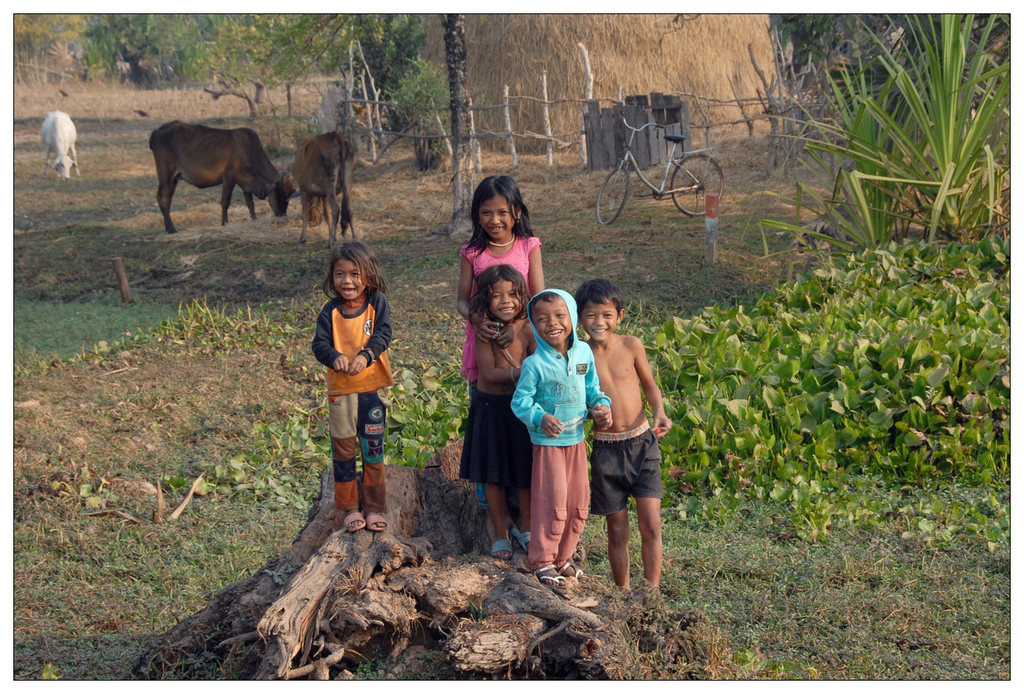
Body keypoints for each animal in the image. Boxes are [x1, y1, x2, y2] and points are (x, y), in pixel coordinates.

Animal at [149, 120, 299, 235]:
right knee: (162, 198)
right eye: (280, 196)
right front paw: (225, 223)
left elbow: (250, 202)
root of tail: (157, 131)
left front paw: (254, 219)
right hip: (166, 175)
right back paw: (172, 229)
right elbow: (225, 202)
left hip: (173, 179)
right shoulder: (229, 179)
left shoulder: (246, 183)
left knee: (167, 199)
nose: (282, 216)